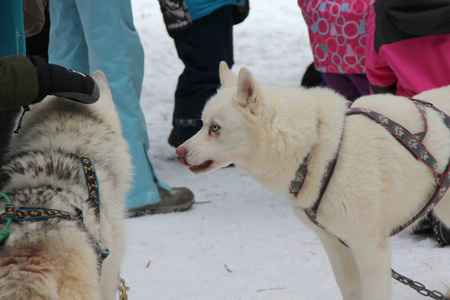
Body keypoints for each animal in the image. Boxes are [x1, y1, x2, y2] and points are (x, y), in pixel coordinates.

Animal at [177, 62, 450, 298]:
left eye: (215, 128)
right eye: (203, 124)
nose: (179, 152)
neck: (320, 149)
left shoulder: (371, 248)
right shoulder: (336, 245)